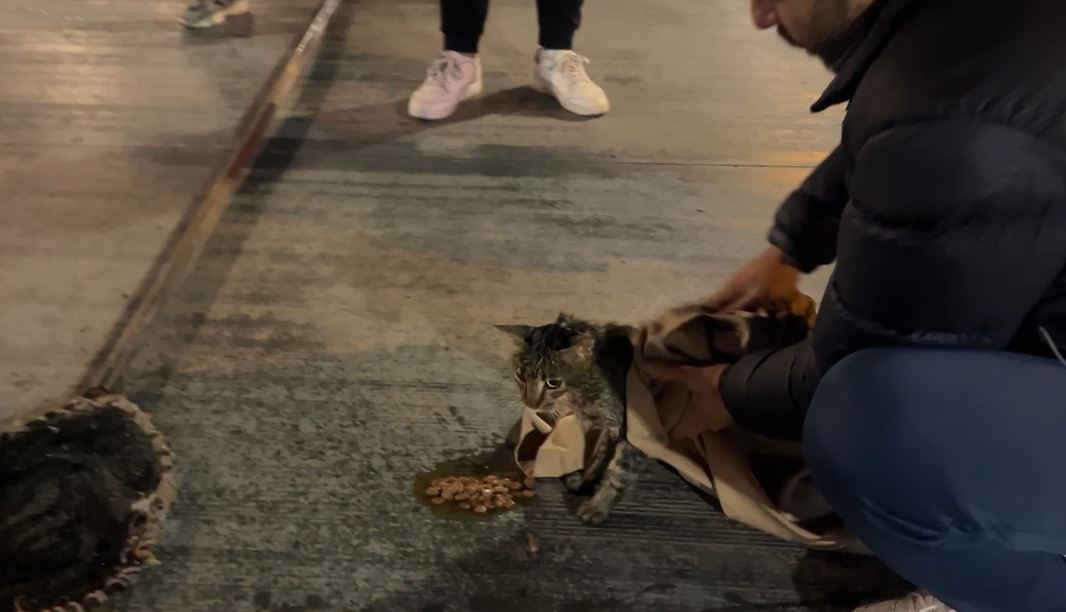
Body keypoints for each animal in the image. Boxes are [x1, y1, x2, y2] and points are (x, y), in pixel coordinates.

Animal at [496, 313, 643, 524]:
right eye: (520, 376)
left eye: (553, 383)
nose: (530, 403)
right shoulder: (601, 425)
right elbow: (597, 455)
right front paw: (583, 479)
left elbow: (619, 471)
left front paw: (598, 505)